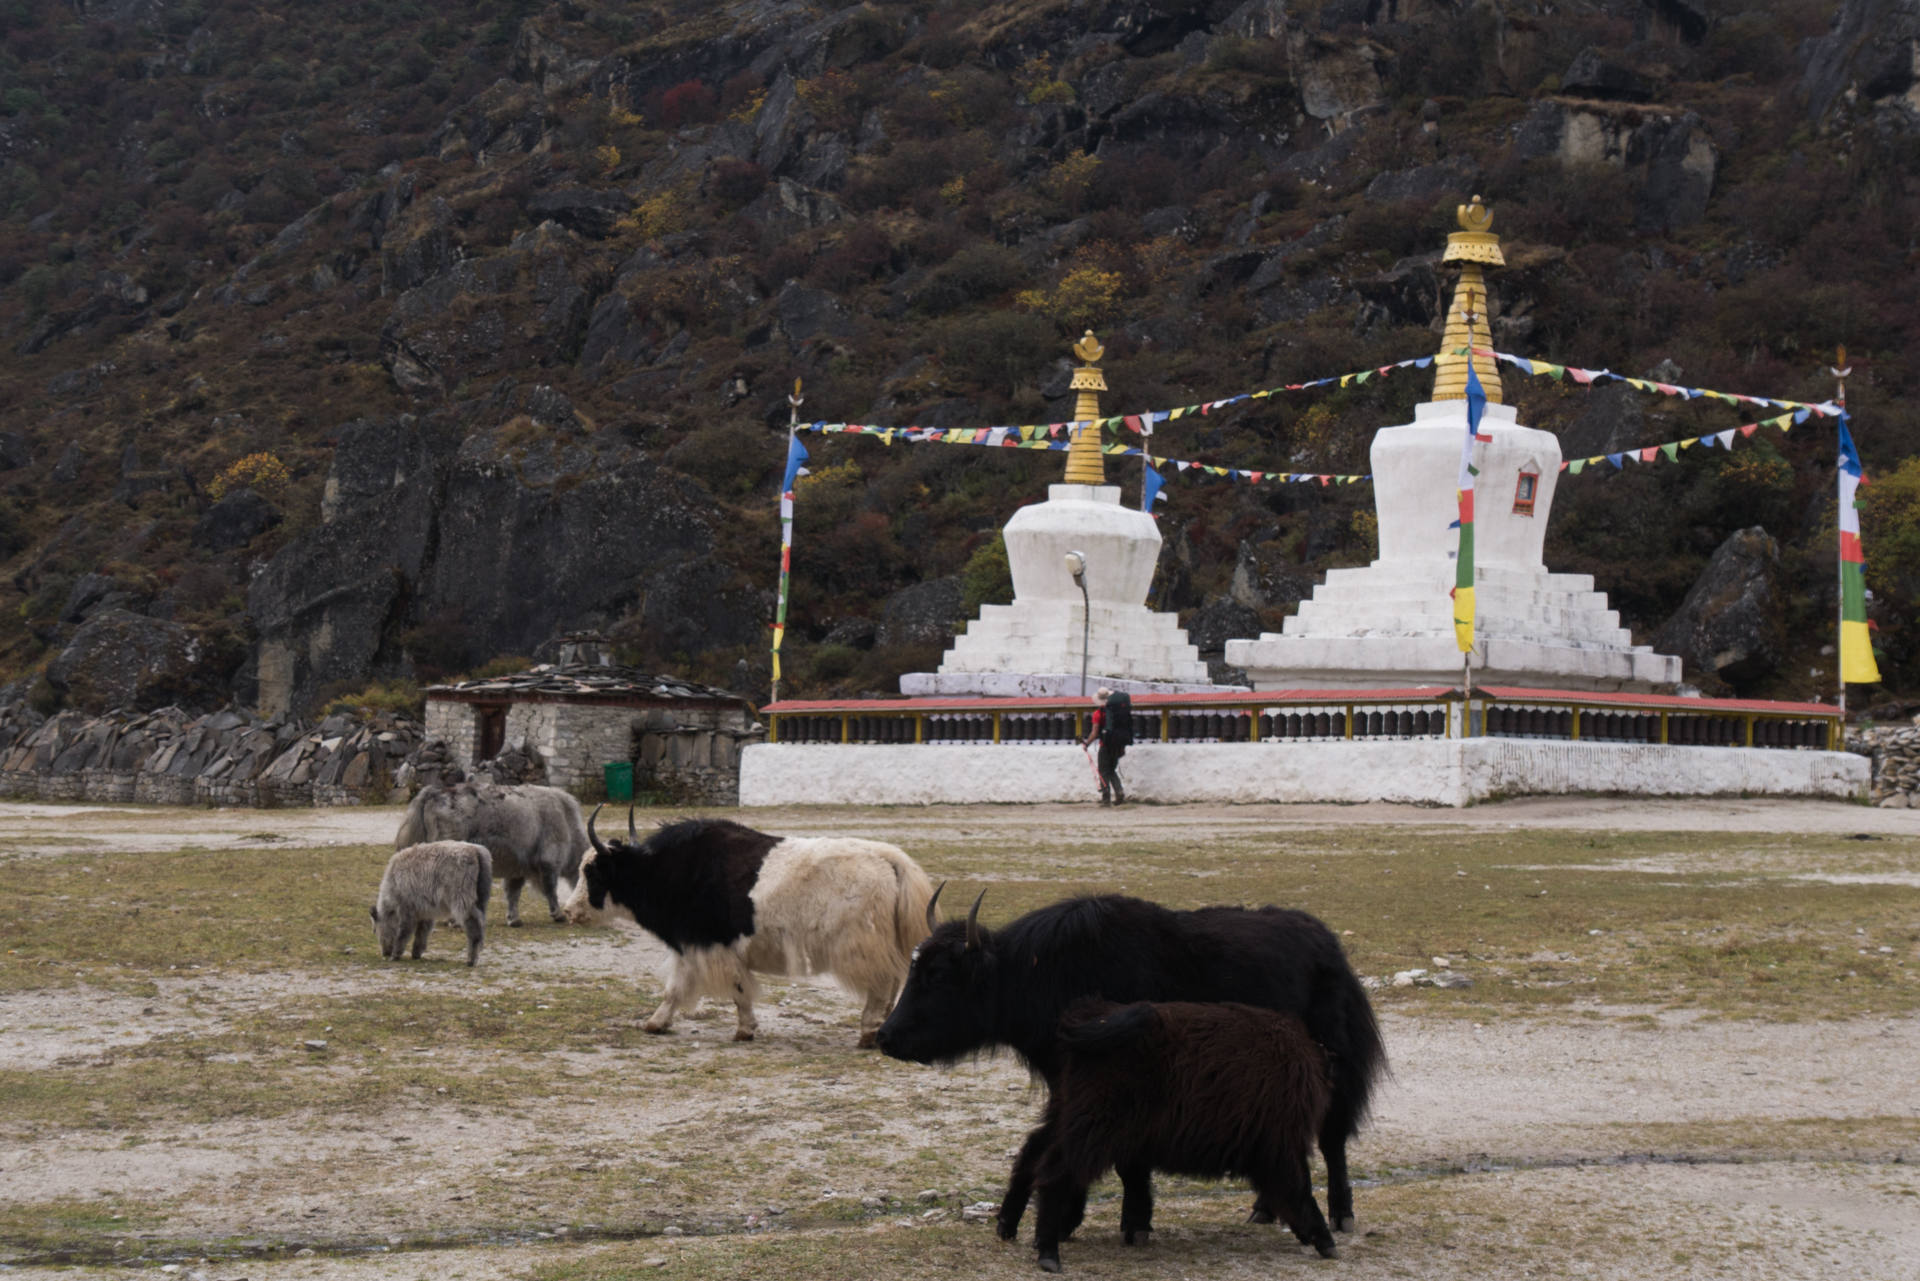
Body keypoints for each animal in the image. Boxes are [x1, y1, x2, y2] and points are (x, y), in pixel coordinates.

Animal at [366, 837, 487, 967]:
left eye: (374, 930)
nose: (385, 952)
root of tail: (475, 851)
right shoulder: (426, 912)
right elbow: (422, 932)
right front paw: (416, 953)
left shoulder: (407, 909)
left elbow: (404, 933)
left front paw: (396, 955)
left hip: (462, 902)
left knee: (474, 926)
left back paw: (471, 960)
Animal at [1029, 998, 1328, 1275]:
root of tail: (1091, 1017)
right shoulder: (1281, 1146)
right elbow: (1299, 1191)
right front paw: (1324, 1239)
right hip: (1092, 1132)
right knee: (1053, 1177)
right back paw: (1049, 1253)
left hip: (1073, 1124)